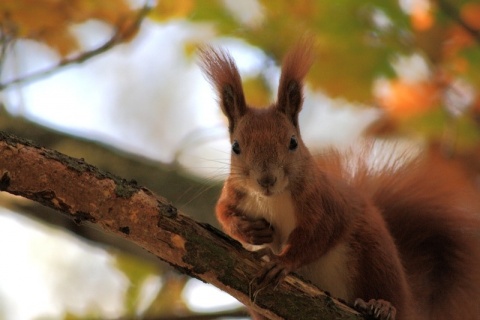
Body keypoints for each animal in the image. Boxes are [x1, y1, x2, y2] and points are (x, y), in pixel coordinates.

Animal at [197, 40, 480, 320]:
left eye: (293, 142)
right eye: (235, 147)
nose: (266, 180)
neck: (271, 199)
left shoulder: (323, 201)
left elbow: (320, 233)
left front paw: (282, 262)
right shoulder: (233, 194)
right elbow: (222, 214)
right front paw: (248, 230)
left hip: (375, 256)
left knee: (388, 292)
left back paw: (381, 305)